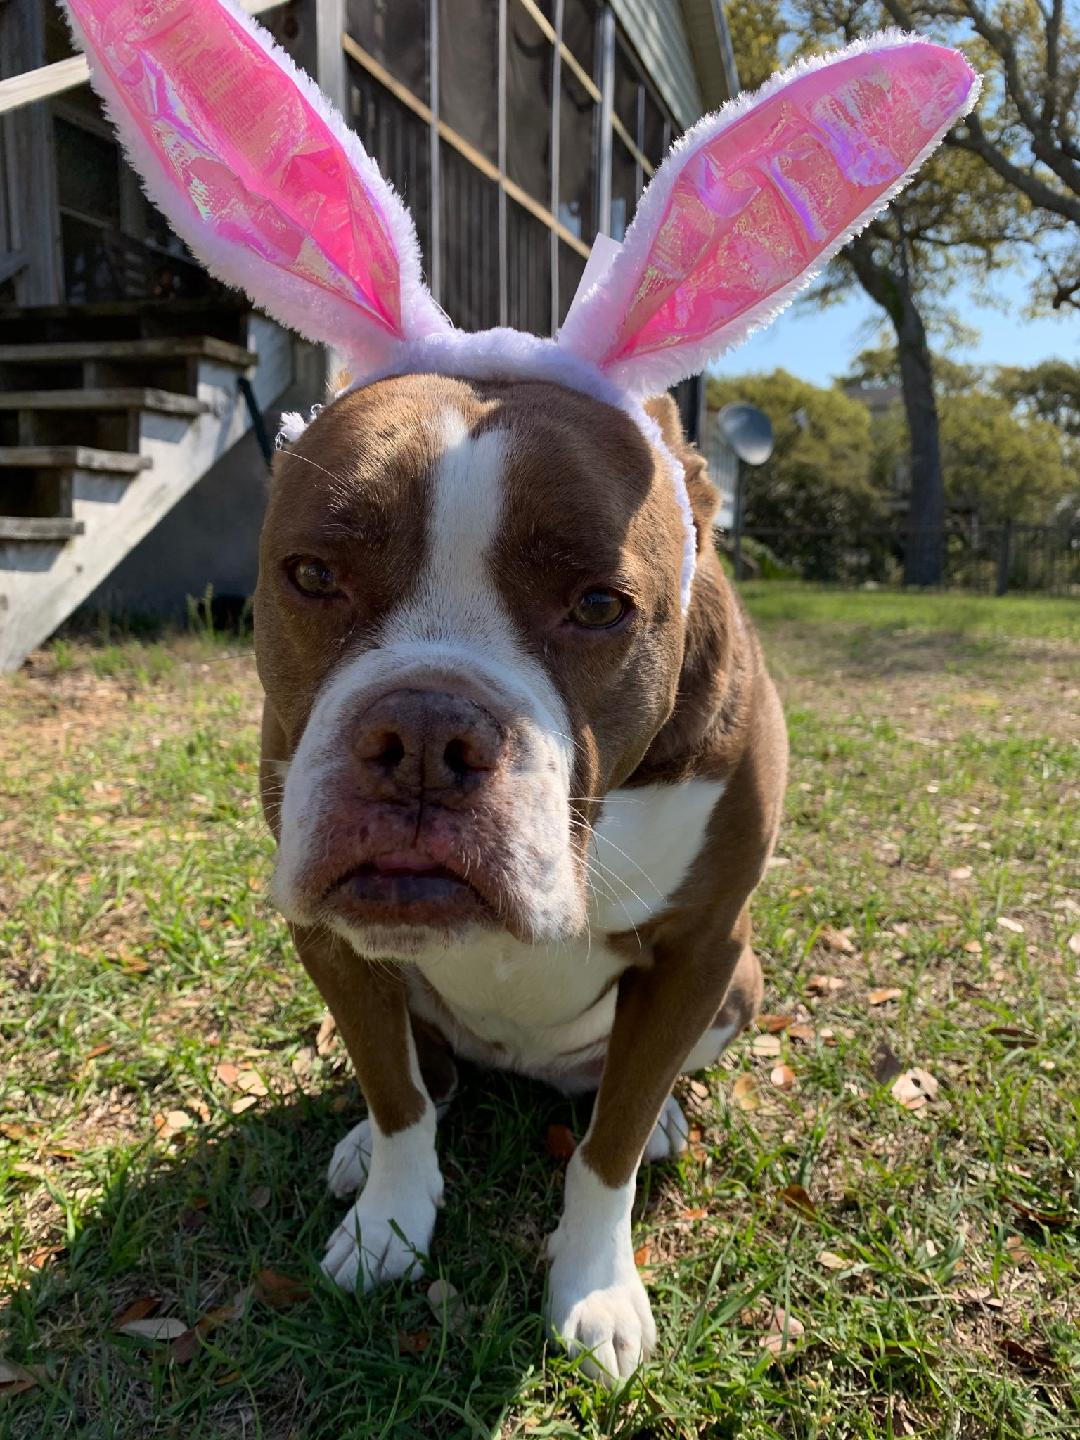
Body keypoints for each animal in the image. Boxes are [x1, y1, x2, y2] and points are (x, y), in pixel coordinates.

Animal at [255, 373, 788, 1382]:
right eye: (312, 576)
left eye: (600, 605)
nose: (425, 736)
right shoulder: (329, 939)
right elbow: (395, 1093)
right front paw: (388, 1224)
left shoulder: (702, 945)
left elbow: (609, 1149)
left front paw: (594, 1288)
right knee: (427, 1072)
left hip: (741, 982)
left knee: (620, 1086)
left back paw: (662, 1115)